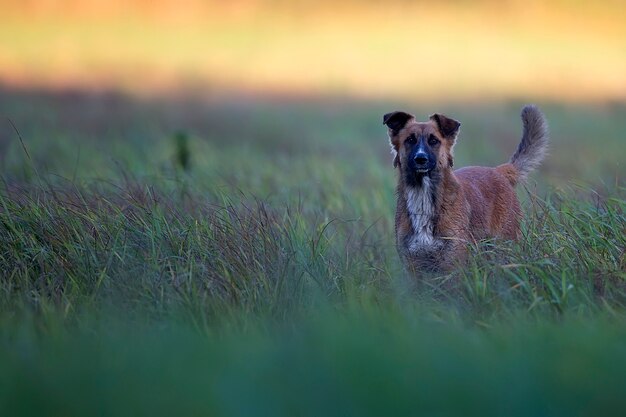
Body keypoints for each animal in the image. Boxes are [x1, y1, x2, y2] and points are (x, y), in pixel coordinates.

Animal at [382, 105, 548, 272]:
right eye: (410, 140)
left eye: (434, 141)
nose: (421, 159)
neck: (423, 195)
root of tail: (498, 171)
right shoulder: (414, 265)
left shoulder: (453, 263)